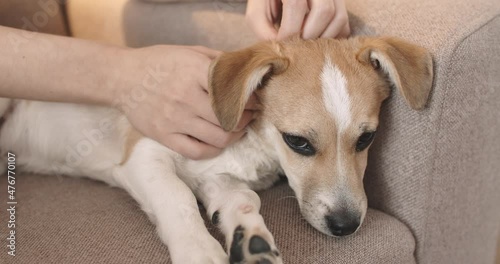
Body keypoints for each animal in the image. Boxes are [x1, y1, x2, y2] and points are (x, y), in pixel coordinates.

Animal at [0, 36, 432, 264]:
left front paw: (251, 239)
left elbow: (242, 200)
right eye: (298, 142)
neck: (252, 143)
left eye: (366, 139)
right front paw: (198, 248)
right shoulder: (146, 153)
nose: (346, 226)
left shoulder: (215, 179)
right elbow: (176, 197)